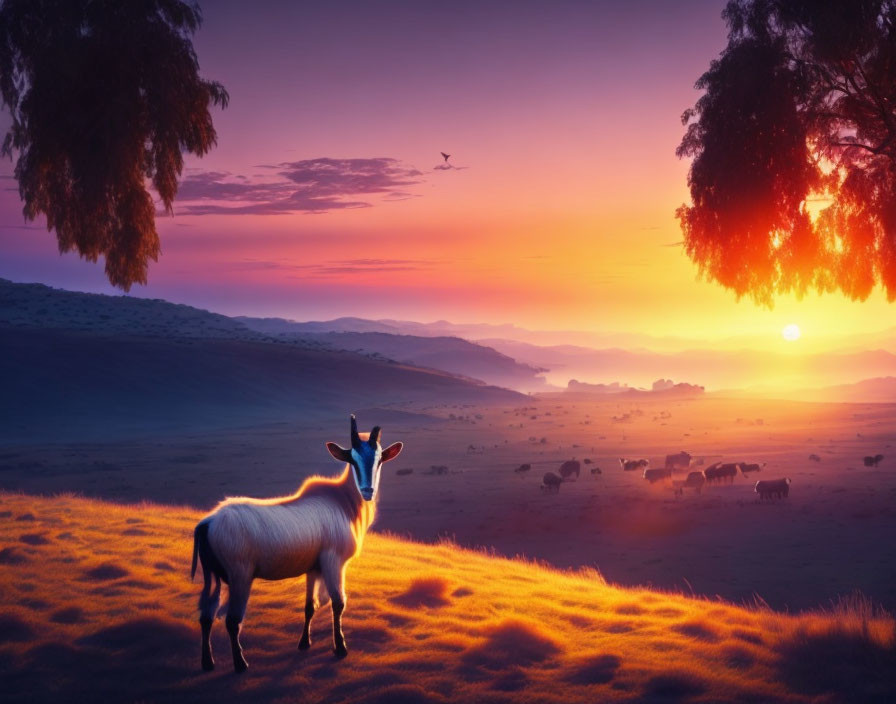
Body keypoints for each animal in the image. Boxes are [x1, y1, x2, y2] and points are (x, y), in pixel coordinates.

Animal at [192, 416, 402, 672]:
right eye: (352, 457)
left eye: (379, 458)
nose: (367, 491)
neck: (341, 502)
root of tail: (208, 523)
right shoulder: (334, 564)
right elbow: (338, 603)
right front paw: (340, 648)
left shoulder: (313, 569)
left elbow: (310, 606)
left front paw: (304, 643)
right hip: (240, 576)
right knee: (232, 620)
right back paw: (241, 664)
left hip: (212, 576)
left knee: (206, 615)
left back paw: (207, 662)